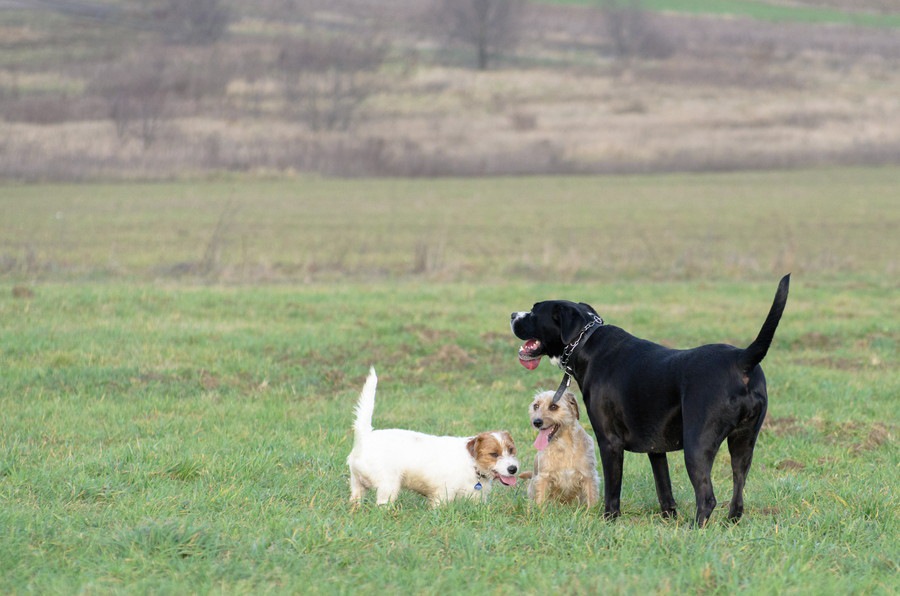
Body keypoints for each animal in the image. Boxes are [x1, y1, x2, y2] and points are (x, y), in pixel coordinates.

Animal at [350, 368, 520, 508]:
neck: (472, 464)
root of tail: (366, 436)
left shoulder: (477, 497)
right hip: (388, 486)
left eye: (512, 450)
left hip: (357, 485)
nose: (513, 469)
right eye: (494, 454)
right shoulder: (442, 495)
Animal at [510, 274, 792, 528]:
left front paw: (609, 520)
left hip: (697, 445)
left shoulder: (609, 441)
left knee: (707, 498)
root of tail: (742, 359)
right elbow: (663, 488)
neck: (586, 343)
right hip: (744, 443)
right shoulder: (656, 448)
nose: (512, 314)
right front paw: (669, 518)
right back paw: (729, 524)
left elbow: (613, 490)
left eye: (534, 311)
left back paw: (694, 529)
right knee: (738, 492)